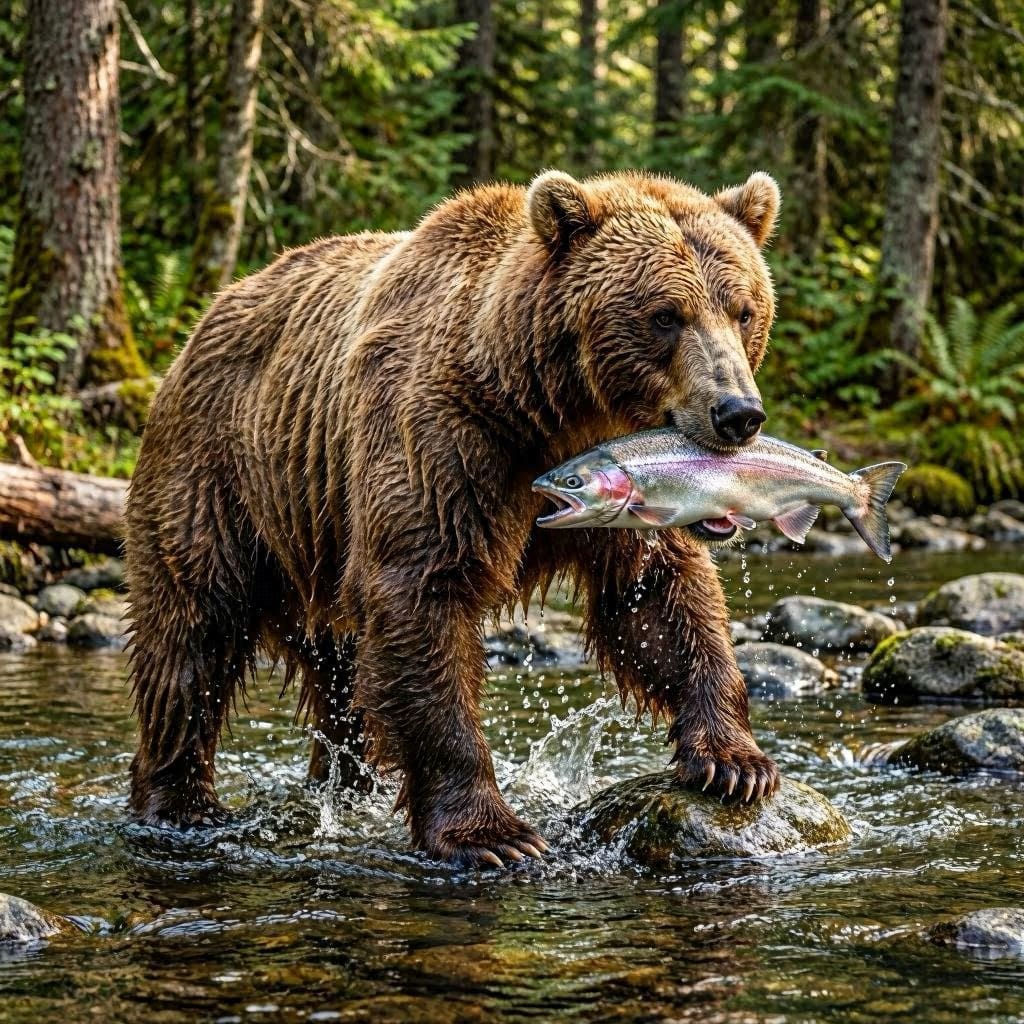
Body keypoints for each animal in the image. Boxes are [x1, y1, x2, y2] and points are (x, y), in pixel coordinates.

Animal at [126, 169, 782, 867]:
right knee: (193, 631)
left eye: (742, 309)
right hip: (222, 477)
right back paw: (182, 803)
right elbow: (424, 594)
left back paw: (345, 784)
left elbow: (655, 597)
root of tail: (204, 318)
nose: (737, 413)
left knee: (342, 677)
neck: (551, 410)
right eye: (665, 315)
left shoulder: (631, 481)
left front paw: (734, 761)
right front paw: (491, 834)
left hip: (321, 534)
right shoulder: (448, 442)